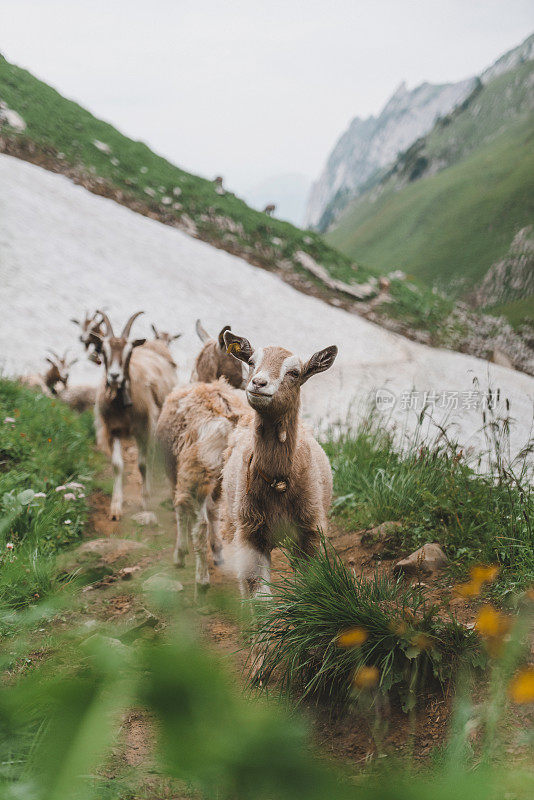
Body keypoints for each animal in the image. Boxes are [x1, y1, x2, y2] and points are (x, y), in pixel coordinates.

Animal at [96, 310, 178, 520]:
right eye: (103, 351)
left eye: (128, 352)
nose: (114, 376)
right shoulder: (113, 430)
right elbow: (117, 465)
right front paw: (115, 507)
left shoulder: (144, 429)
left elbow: (142, 463)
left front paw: (145, 501)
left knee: (151, 456)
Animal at [220, 328, 338, 596]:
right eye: (252, 363)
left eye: (295, 373)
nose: (258, 383)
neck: (279, 480)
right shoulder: (251, 532)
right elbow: (257, 591)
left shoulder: (309, 531)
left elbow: (308, 582)